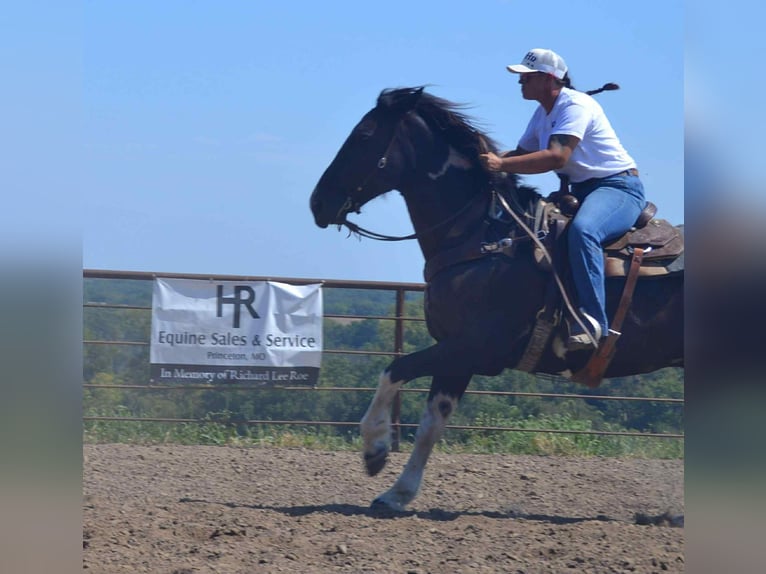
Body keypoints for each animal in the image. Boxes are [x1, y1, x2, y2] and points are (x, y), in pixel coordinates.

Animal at [310, 87, 683, 511]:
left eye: (365, 134)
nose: (318, 203)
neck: (486, 237)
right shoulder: (456, 355)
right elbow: (431, 423)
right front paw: (397, 492)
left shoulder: (475, 345)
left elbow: (395, 369)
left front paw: (375, 450)